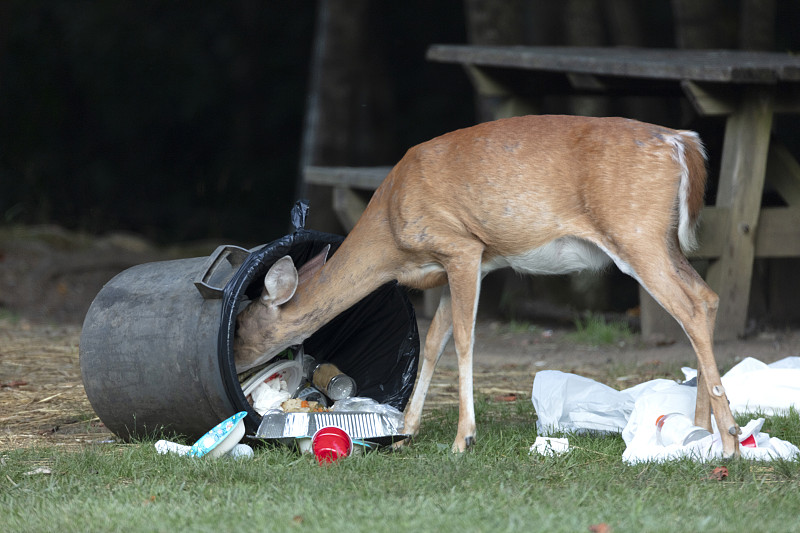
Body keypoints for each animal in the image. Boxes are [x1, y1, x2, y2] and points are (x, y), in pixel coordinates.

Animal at [236, 114, 744, 456]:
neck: (391, 234)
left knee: (690, 306)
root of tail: (683, 142)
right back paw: (698, 432)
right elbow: (434, 341)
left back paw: (730, 440)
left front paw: (464, 437)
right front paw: (406, 431)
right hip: (661, 239)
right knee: (706, 297)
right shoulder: (456, 267)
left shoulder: (461, 246)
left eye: (241, 325)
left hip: (635, 231)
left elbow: (463, 339)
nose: (236, 365)